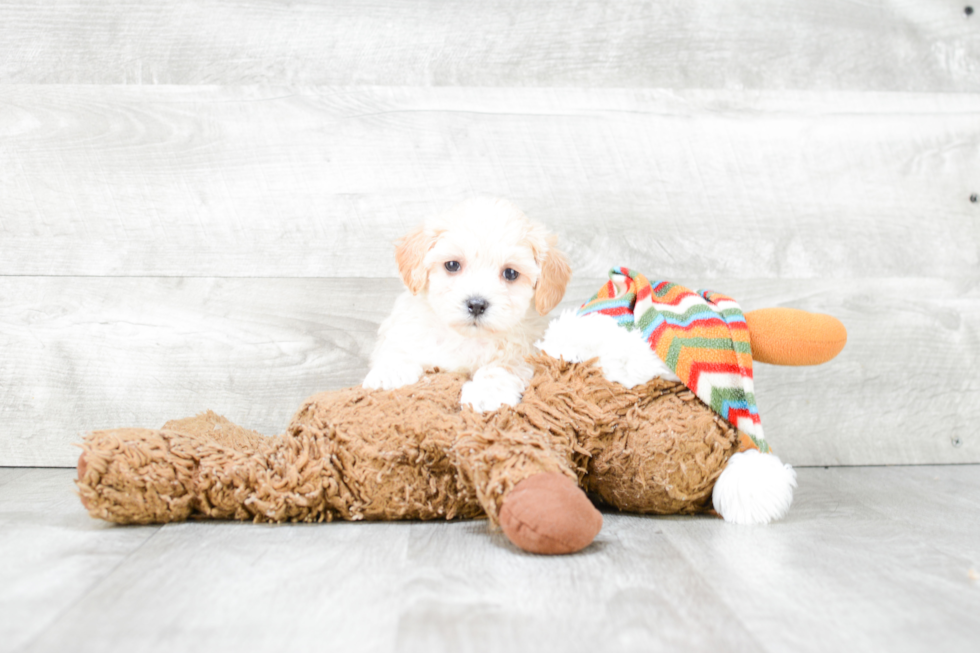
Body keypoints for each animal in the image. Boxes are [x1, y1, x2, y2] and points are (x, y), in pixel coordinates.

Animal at [364, 196, 572, 410]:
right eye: (452, 265)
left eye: (510, 273)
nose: (477, 305)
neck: (465, 338)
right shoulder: (407, 326)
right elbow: (398, 345)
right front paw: (390, 372)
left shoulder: (525, 351)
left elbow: (501, 368)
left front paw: (486, 393)